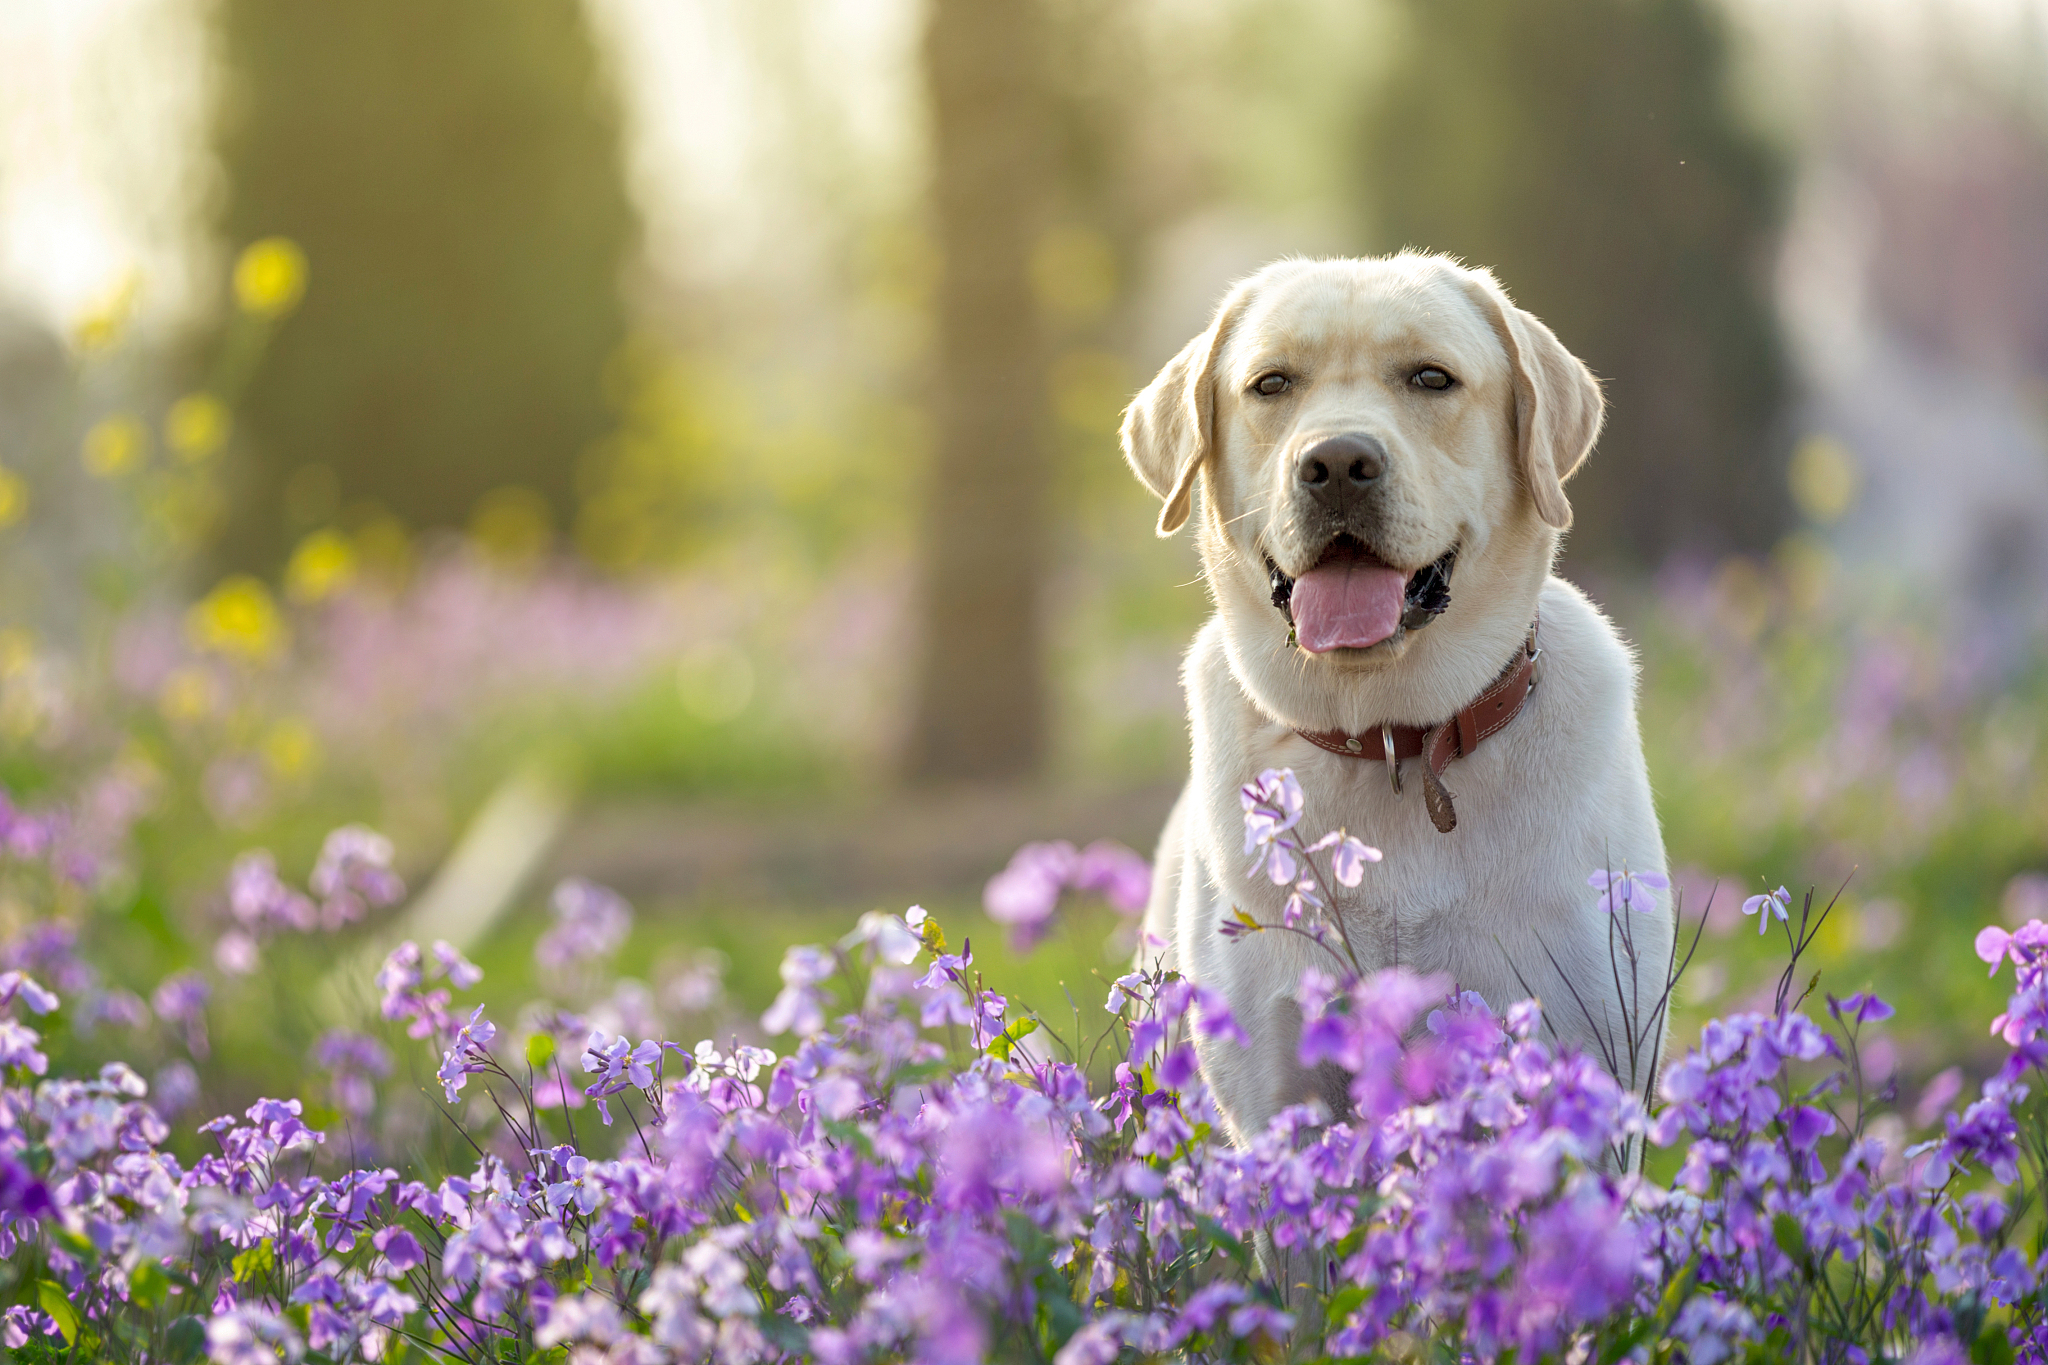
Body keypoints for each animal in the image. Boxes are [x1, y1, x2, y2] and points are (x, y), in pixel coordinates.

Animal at [1130, 253, 1671, 1146]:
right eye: (1271, 383)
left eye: (1431, 377)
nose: (1337, 463)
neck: (1389, 737)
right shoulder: (1277, 1097)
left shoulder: (1589, 1048)